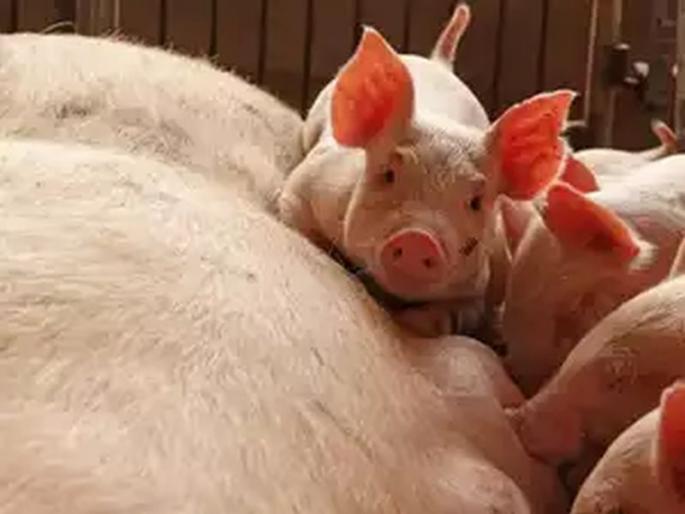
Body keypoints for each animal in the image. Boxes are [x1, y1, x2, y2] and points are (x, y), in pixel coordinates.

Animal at [279, 5, 574, 338]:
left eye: (476, 202)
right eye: (388, 174)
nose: (419, 238)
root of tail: (439, 62)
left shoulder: (480, 286)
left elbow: (458, 315)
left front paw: (412, 323)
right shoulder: (308, 185)